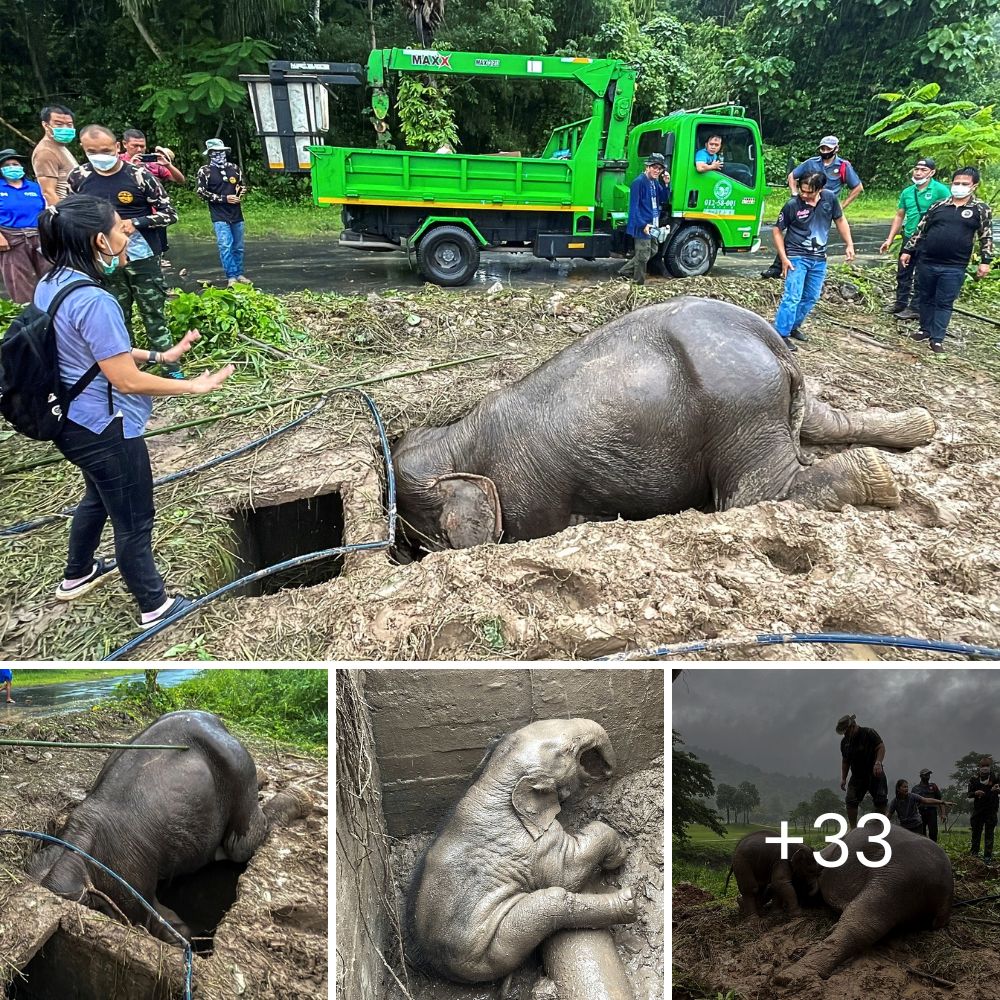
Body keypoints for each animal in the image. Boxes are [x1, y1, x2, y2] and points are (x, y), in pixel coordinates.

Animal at [28, 708, 308, 940]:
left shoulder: (129, 882)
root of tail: (212, 718)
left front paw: (181, 932)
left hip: (239, 769)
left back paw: (302, 795)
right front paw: (179, 931)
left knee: (242, 843)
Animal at [392, 292, 936, 552]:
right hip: (770, 399)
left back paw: (881, 478)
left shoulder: (530, 496)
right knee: (826, 423)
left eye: (425, 540)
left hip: (740, 410)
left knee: (754, 495)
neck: (457, 438)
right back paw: (921, 428)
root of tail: (770, 338)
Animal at [404, 720, 632, 984]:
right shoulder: (534, 845)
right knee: (552, 901)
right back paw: (628, 902)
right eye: (568, 750)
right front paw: (617, 857)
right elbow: (567, 873)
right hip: (492, 949)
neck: (495, 778)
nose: (607, 772)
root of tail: (434, 965)